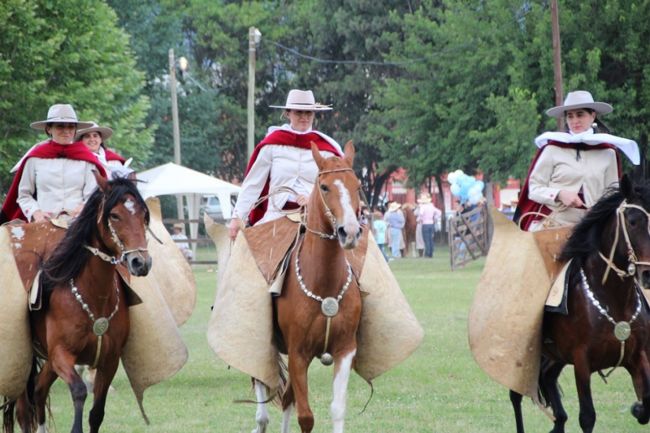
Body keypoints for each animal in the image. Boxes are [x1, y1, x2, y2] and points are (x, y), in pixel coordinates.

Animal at [3, 173, 151, 433]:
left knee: (39, 390)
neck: (94, 296)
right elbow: (79, 391)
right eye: (115, 215)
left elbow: (97, 412)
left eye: (144, 214)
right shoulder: (62, 355)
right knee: (23, 409)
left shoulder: (109, 361)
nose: (140, 262)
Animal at [250, 141, 363, 433]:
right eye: (324, 187)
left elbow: (337, 409)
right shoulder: (298, 353)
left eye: (358, 185)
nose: (349, 232)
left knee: (287, 397)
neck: (324, 284)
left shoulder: (345, 349)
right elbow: (306, 416)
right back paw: (260, 421)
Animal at [510, 175, 650, 433]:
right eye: (633, 221)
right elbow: (587, 417)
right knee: (516, 395)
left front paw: (636, 409)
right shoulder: (581, 361)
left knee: (547, 377)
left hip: (554, 355)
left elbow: (646, 404)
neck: (612, 299)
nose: (647, 273)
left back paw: (558, 422)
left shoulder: (638, 356)